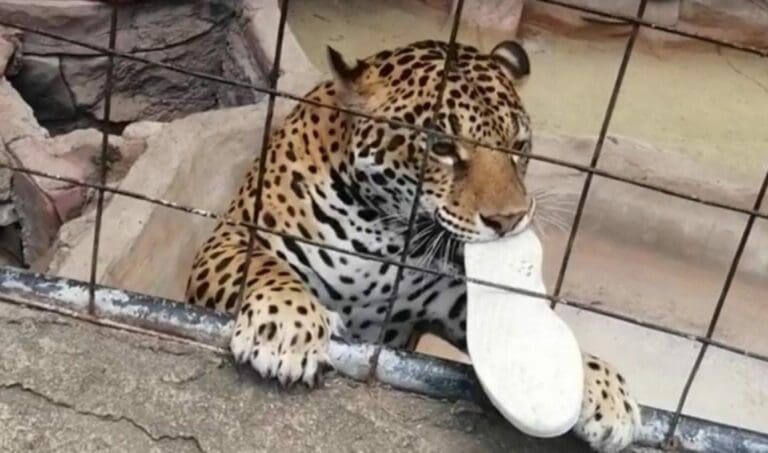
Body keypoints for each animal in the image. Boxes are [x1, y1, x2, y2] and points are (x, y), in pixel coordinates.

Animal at [185, 39, 641, 452]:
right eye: (442, 148)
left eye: (519, 146)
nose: (509, 219)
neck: (383, 232)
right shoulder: (231, 238)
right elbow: (265, 268)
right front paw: (286, 329)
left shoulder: (453, 302)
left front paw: (601, 386)